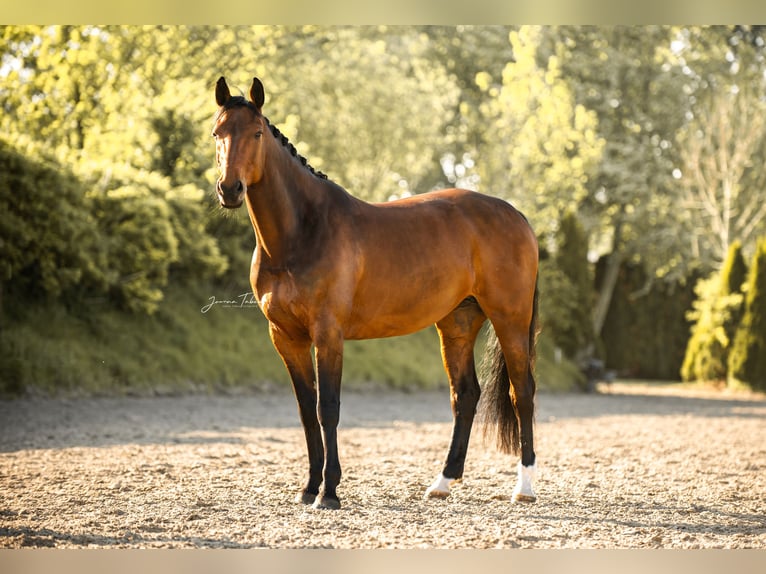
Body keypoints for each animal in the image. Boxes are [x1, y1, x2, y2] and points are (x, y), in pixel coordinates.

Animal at [214, 77, 540, 512]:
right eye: (217, 133)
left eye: (256, 133)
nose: (229, 190)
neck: (301, 231)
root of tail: (517, 216)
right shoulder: (286, 338)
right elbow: (305, 411)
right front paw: (308, 488)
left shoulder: (328, 335)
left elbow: (328, 408)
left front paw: (330, 492)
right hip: (457, 323)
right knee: (466, 394)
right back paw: (442, 482)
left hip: (510, 320)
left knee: (522, 393)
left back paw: (524, 487)